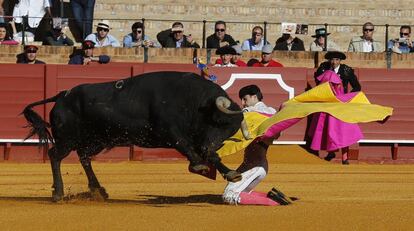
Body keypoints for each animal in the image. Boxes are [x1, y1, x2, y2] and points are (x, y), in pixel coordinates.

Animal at [22, 71, 249, 201]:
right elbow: (184, 145)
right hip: (67, 138)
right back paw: (58, 193)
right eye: (219, 121)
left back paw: (98, 190)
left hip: (96, 139)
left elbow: (211, 156)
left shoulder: (200, 140)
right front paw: (199, 166)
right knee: (55, 155)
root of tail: (62, 95)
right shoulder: (169, 130)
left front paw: (231, 173)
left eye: (231, 130)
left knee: (84, 158)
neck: (195, 102)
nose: (210, 145)